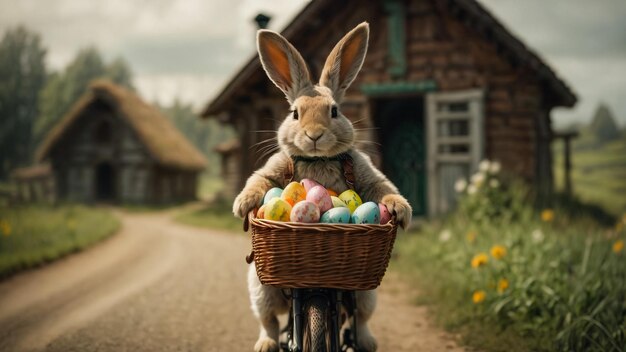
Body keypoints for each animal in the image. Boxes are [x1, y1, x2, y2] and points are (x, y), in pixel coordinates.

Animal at [233, 22, 410, 352]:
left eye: (335, 111)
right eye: (294, 113)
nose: (314, 135)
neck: (317, 160)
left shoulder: (366, 175)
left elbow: (382, 187)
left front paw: (401, 210)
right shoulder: (273, 170)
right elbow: (259, 181)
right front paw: (242, 204)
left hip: (366, 293)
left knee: (360, 319)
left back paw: (368, 342)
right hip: (262, 291)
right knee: (270, 322)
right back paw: (265, 344)